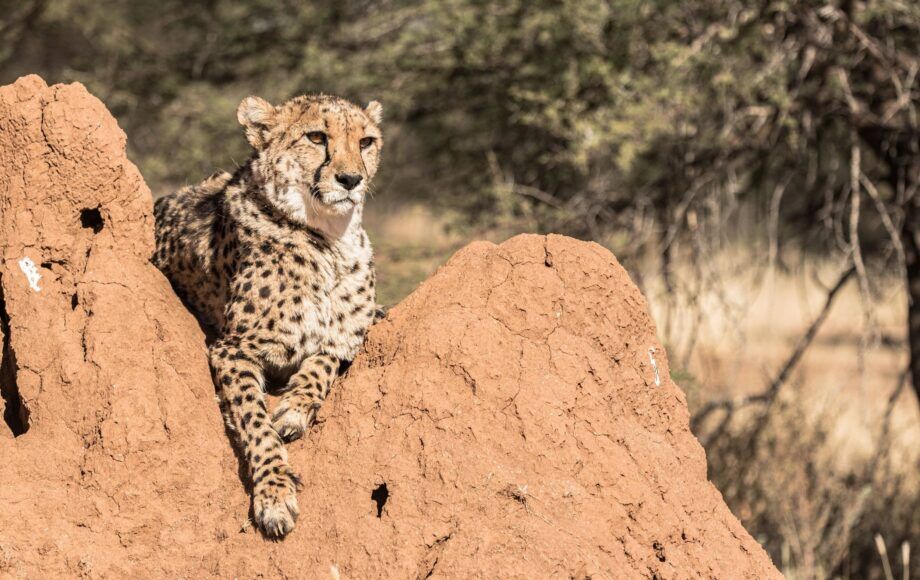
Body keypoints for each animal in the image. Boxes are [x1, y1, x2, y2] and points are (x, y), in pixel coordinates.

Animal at [152, 93, 384, 537]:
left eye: (366, 142)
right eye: (316, 137)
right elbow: (255, 422)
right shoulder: (230, 349)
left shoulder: (344, 338)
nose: (351, 179)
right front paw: (274, 494)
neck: (332, 237)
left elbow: (323, 361)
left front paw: (294, 408)